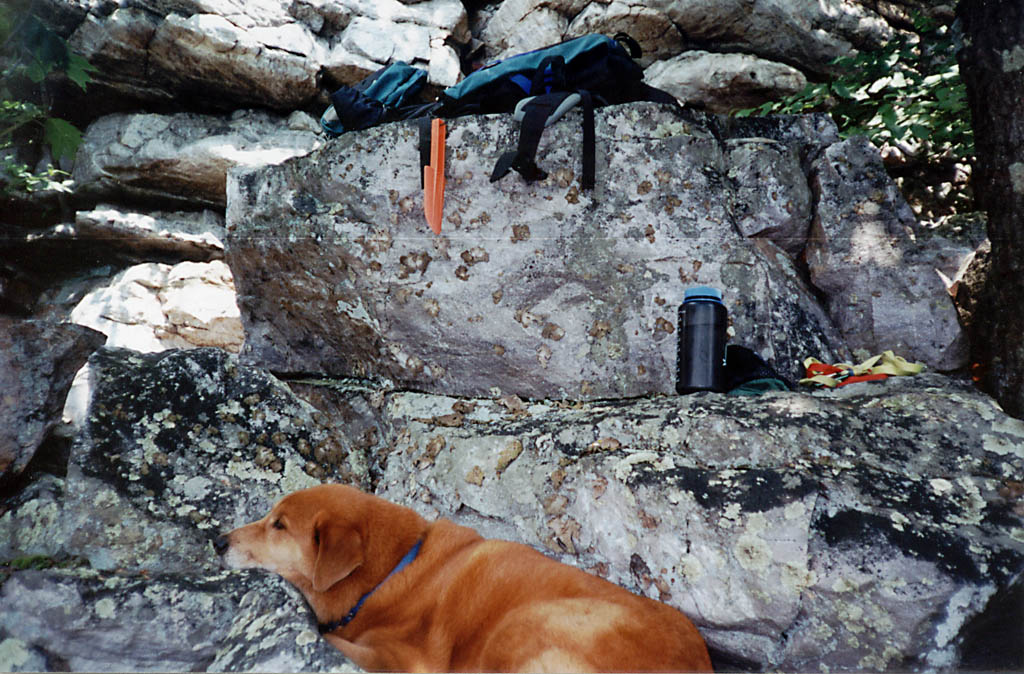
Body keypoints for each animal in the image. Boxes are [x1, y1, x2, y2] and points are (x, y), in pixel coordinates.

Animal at [216, 479, 712, 667]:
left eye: (278, 525)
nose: (218, 541)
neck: (391, 573)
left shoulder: (404, 661)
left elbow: (335, 640)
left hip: (527, 623)